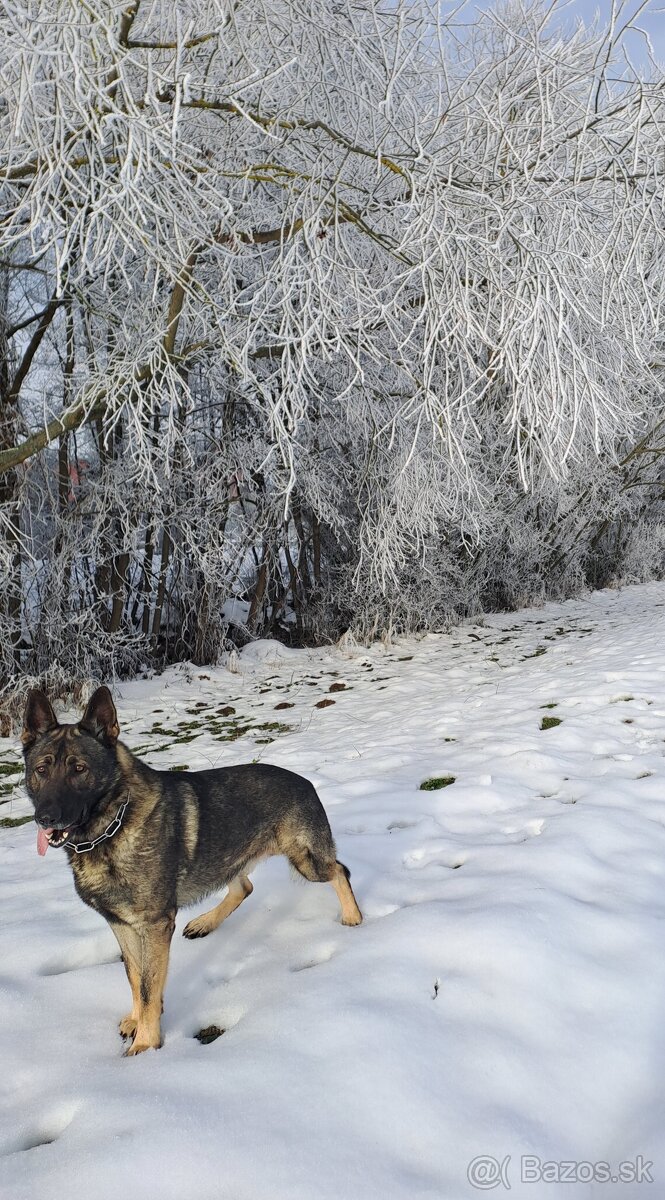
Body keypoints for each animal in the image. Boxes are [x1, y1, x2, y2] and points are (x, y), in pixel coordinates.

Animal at [22, 691, 362, 1056]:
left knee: (339, 870)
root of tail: (305, 782)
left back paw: (353, 916)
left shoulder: (154, 925)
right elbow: (134, 977)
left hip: (306, 861)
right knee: (244, 887)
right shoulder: (122, 925)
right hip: (229, 857)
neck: (113, 825)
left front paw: (146, 1044)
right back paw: (205, 922)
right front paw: (137, 1020)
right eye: (41, 770)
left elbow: (148, 985)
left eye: (79, 769)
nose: (45, 818)